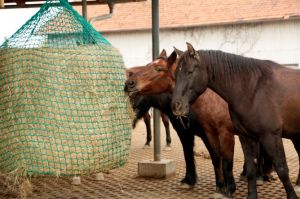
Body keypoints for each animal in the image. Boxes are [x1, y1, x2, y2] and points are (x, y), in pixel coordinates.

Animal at [171, 42, 300, 198]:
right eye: (175, 74)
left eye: (190, 72)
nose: (176, 106)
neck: (252, 90)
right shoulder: (246, 137)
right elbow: (250, 169)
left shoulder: (270, 136)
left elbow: (282, 169)